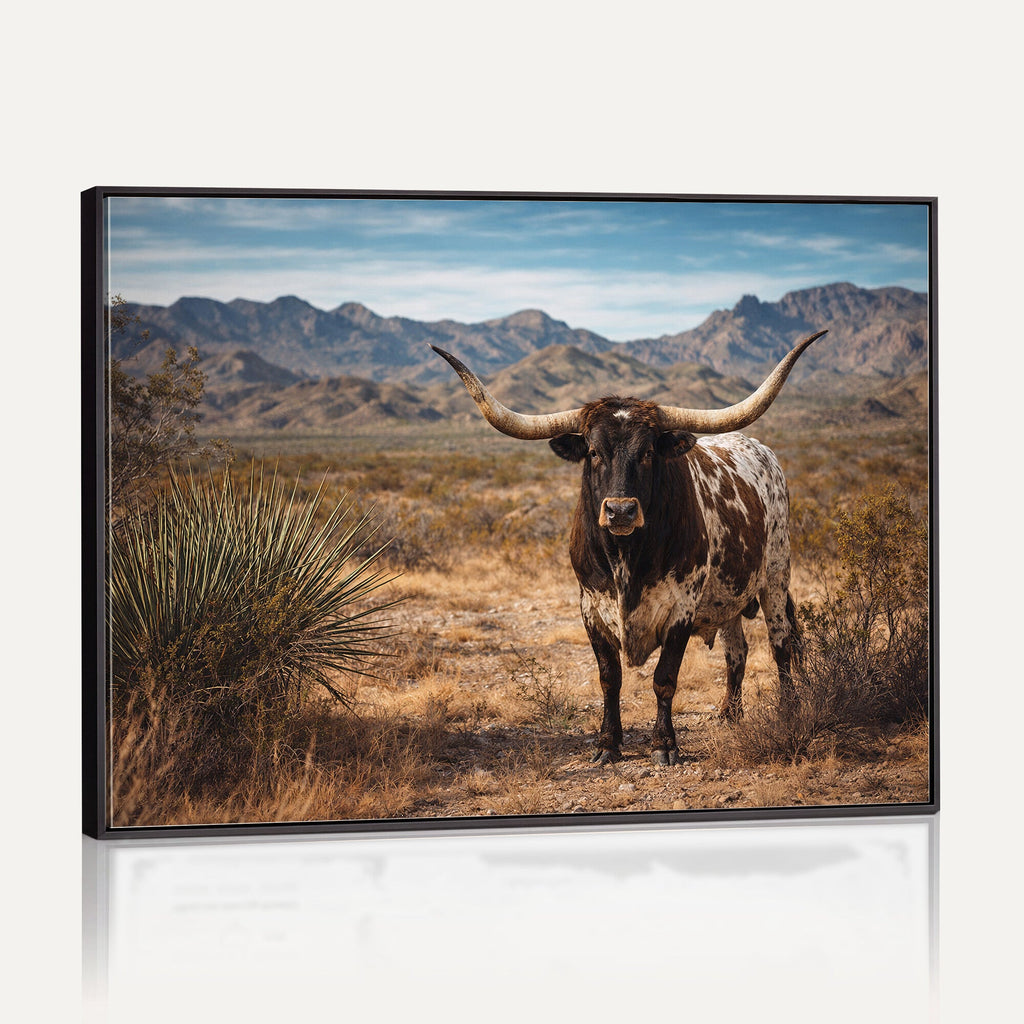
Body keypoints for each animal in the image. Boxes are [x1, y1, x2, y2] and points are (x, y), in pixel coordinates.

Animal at [432, 329, 827, 765]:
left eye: (649, 451)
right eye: (592, 451)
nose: (620, 510)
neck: (626, 560)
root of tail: (762, 451)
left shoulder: (681, 608)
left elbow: (664, 678)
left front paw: (664, 745)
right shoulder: (590, 608)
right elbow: (610, 679)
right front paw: (608, 743)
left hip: (775, 577)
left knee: (781, 645)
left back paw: (788, 710)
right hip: (727, 597)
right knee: (736, 650)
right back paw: (729, 713)